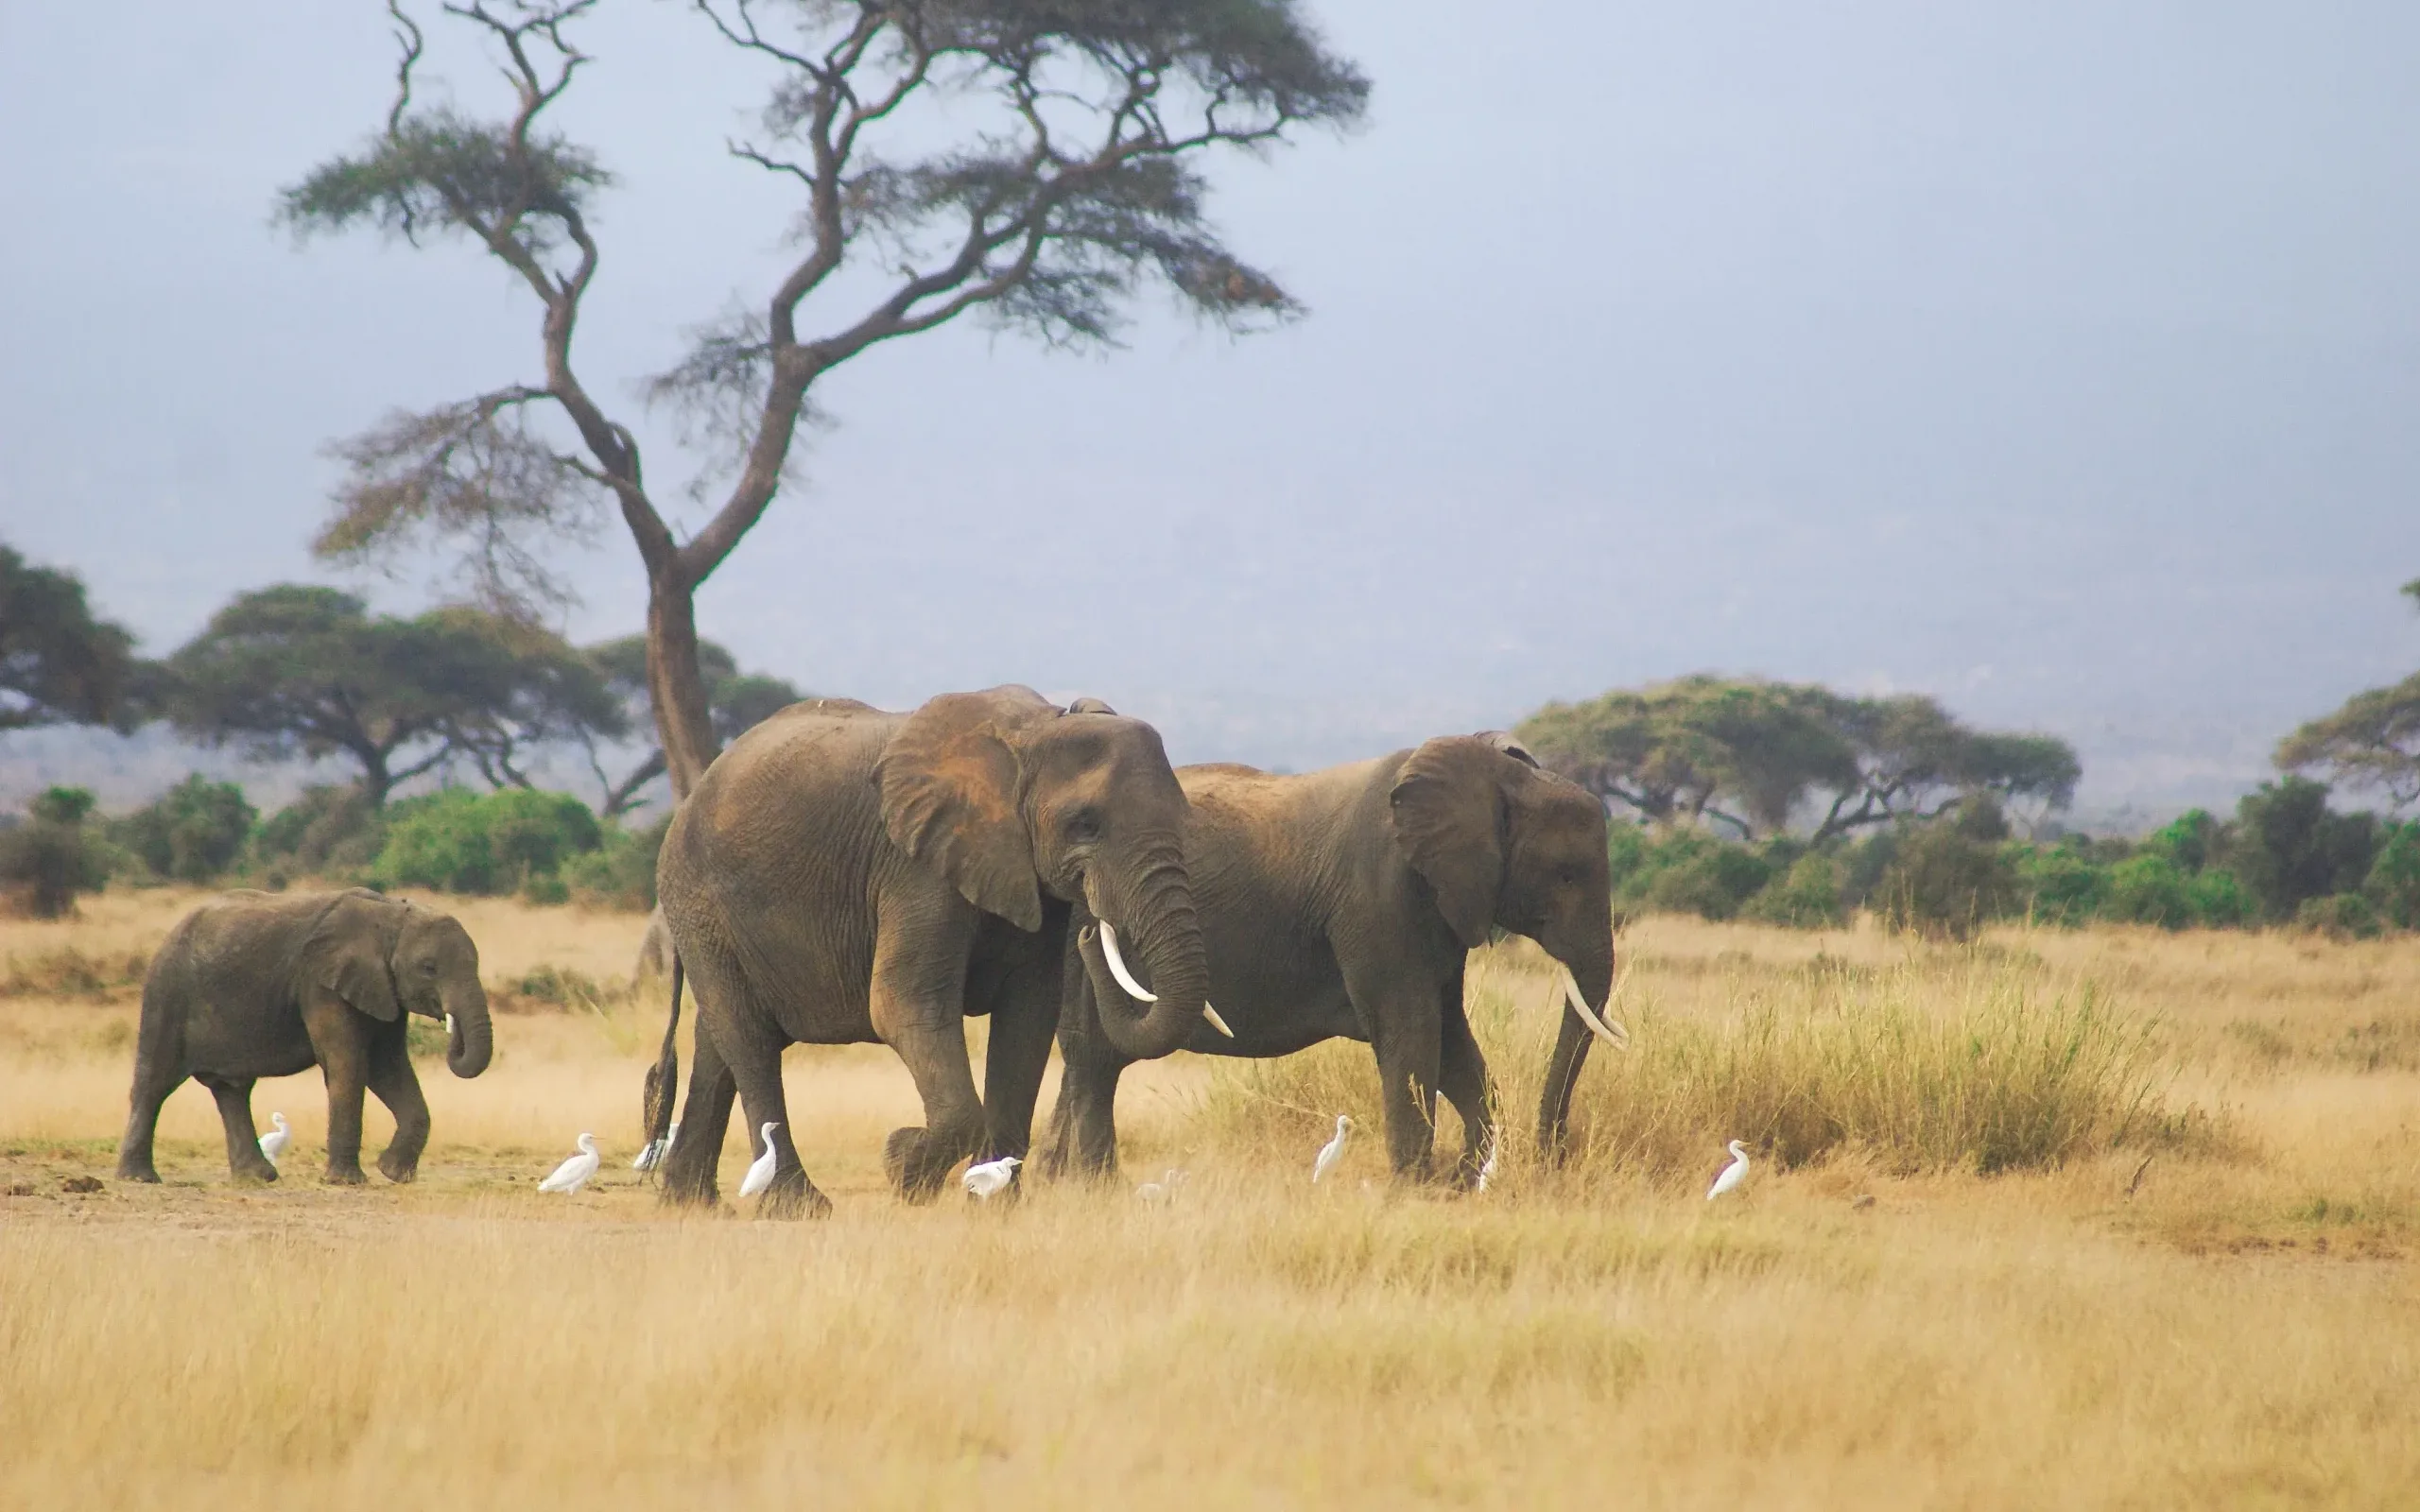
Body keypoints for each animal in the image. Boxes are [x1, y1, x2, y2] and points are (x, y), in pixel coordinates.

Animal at [116, 888, 493, 1186]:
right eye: (429, 968)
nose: (449, 1025)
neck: (391, 915)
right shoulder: (320, 983)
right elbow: (348, 1063)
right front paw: (347, 1182)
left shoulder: (383, 989)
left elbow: (387, 1066)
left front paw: (393, 1173)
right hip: (167, 993)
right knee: (155, 1082)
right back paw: (139, 1178)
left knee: (232, 1090)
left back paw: (258, 1177)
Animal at [644, 687, 1212, 1216]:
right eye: (1086, 824)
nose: (1091, 933)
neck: (1037, 730)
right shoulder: (915, 866)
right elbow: (903, 1005)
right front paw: (902, 1166)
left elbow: (1028, 1018)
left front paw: (994, 1203)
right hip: (697, 899)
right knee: (749, 1040)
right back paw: (798, 1207)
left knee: (718, 1042)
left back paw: (692, 1202)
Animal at [1042, 732, 1619, 1186]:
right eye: (1567, 875)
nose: (1551, 1158)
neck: (1496, 776)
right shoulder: (1379, 896)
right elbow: (1411, 1031)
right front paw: (1414, 1193)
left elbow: (1453, 1039)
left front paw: (1458, 1185)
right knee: (1091, 1057)